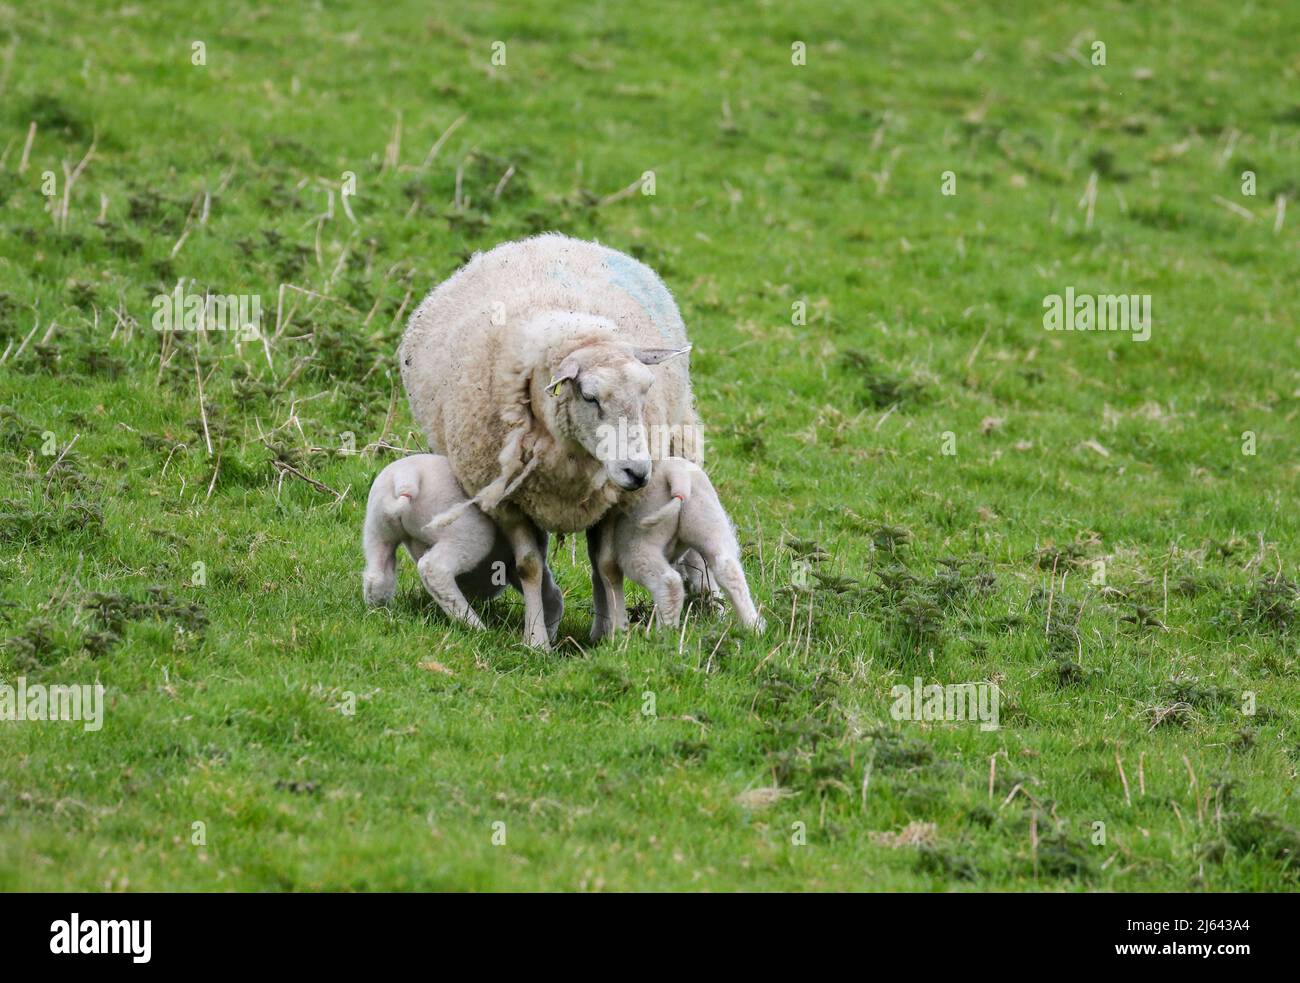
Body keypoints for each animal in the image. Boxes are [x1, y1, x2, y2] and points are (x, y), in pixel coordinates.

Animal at [362, 454, 563, 640]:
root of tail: (406, 476)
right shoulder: (513, 563)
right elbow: (548, 591)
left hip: (378, 528)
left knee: (377, 575)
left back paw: (379, 611)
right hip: (465, 531)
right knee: (434, 568)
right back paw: (475, 627)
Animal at [400, 234, 705, 648]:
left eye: (647, 389)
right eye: (589, 396)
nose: (639, 472)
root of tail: (552, 240)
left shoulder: (614, 499)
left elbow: (608, 565)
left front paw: (618, 636)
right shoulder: (508, 502)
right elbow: (528, 566)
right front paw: (537, 641)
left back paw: (601, 628)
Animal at [591, 457, 765, 634]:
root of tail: (677, 475)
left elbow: (606, 571)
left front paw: (615, 632)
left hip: (637, 539)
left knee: (669, 582)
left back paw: (663, 633)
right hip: (710, 524)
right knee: (729, 571)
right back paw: (753, 627)